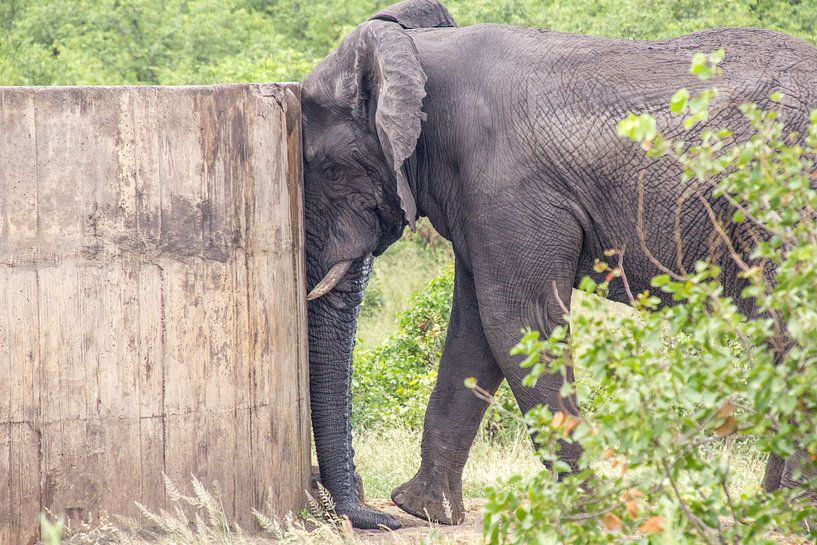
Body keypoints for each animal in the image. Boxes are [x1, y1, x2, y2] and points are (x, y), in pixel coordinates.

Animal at [301, 0, 817, 530]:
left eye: (329, 169)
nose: (375, 514)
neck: (415, 54)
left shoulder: (509, 187)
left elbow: (518, 324)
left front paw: (588, 516)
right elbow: (476, 331)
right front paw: (423, 510)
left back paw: (792, 512)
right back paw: (773, 509)